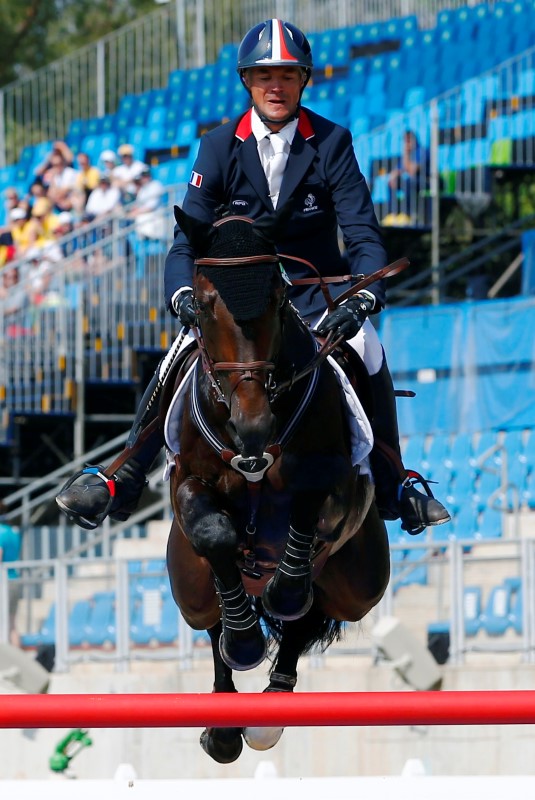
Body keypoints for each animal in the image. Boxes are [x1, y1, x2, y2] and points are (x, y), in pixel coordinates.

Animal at [161, 206, 392, 764]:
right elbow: (215, 534)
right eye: (203, 306)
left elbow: (307, 511)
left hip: (359, 586)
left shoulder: (337, 486)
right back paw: (226, 721)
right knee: (213, 620)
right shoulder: (188, 483)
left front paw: (284, 590)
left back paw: (270, 708)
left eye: (280, 298)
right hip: (188, 585)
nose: (254, 426)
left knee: (307, 615)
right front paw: (246, 640)